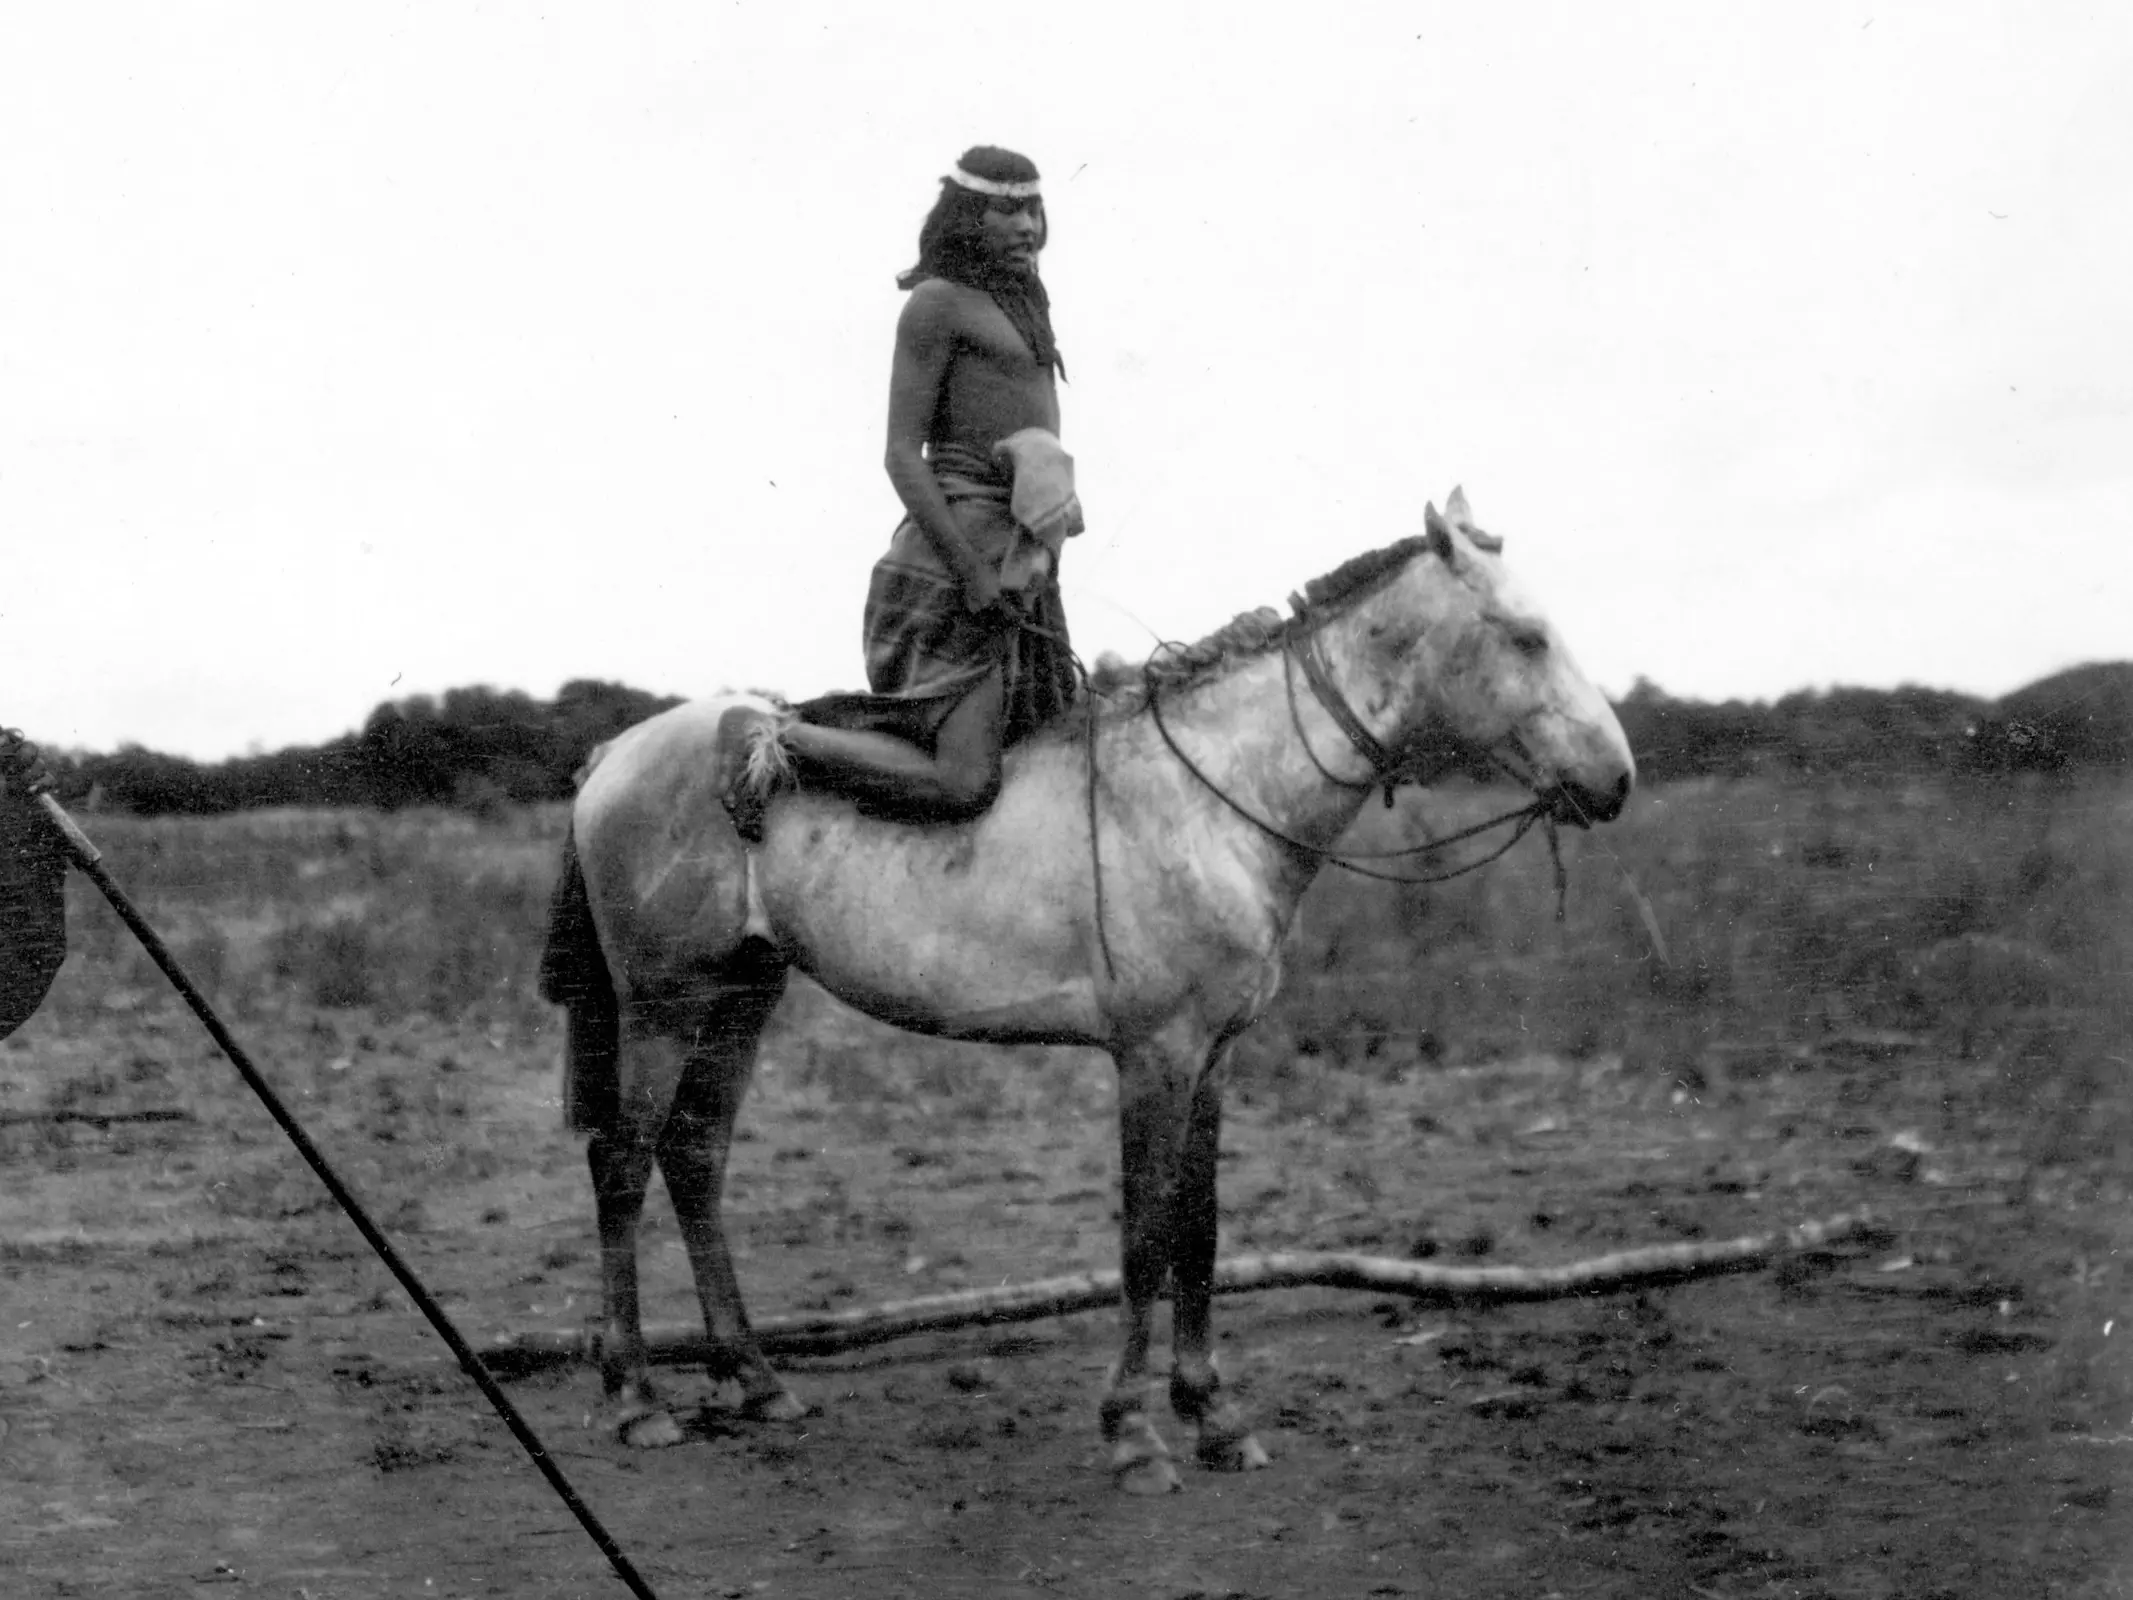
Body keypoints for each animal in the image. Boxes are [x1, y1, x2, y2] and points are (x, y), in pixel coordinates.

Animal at [535, 489, 1635, 1493]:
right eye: (1527, 635)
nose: (1617, 779)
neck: (1212, 796)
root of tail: (615, 754)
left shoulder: (1212, 1057)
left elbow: (1200, 1227)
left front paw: (1214, 1417)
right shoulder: (1153, 1057)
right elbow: (1144, 1233)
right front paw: (1134, 1432)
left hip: (741, 999)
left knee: (695, 1158)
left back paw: (757, 1380)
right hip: (663, 1004)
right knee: (624, 1164)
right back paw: (637, 1398)